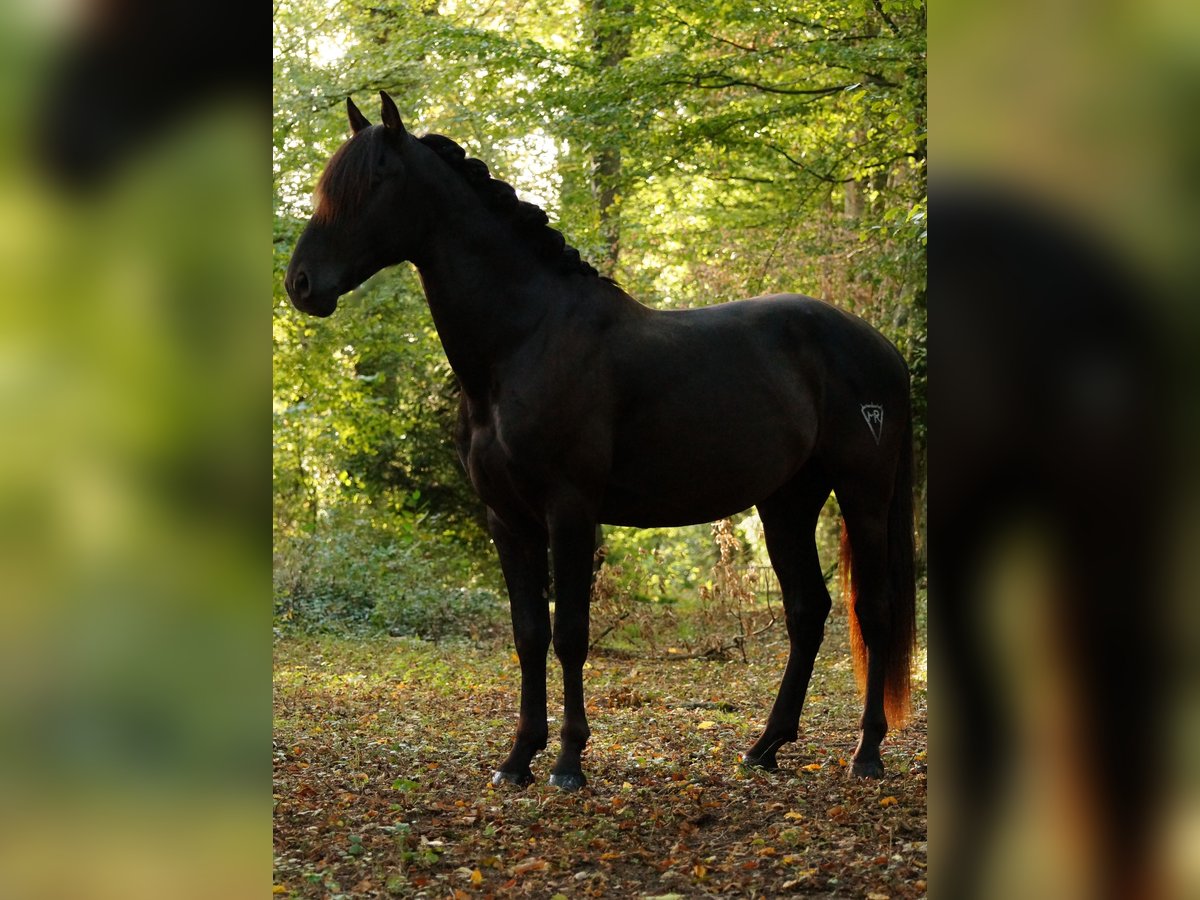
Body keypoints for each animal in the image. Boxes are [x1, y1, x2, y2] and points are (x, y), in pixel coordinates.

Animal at [283, 93, 916, 787]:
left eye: (374, 180)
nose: (301, 283)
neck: (524, 341)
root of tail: (880, 346)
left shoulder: (570, 510)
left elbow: (571, 634)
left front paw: (567, 761)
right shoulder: (507, 518)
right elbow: (529, 633)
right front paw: (518, 759)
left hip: (863, 495)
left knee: (875, 611)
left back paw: (866, 752)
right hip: (786, 502)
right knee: (808, 611)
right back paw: (765, 746)